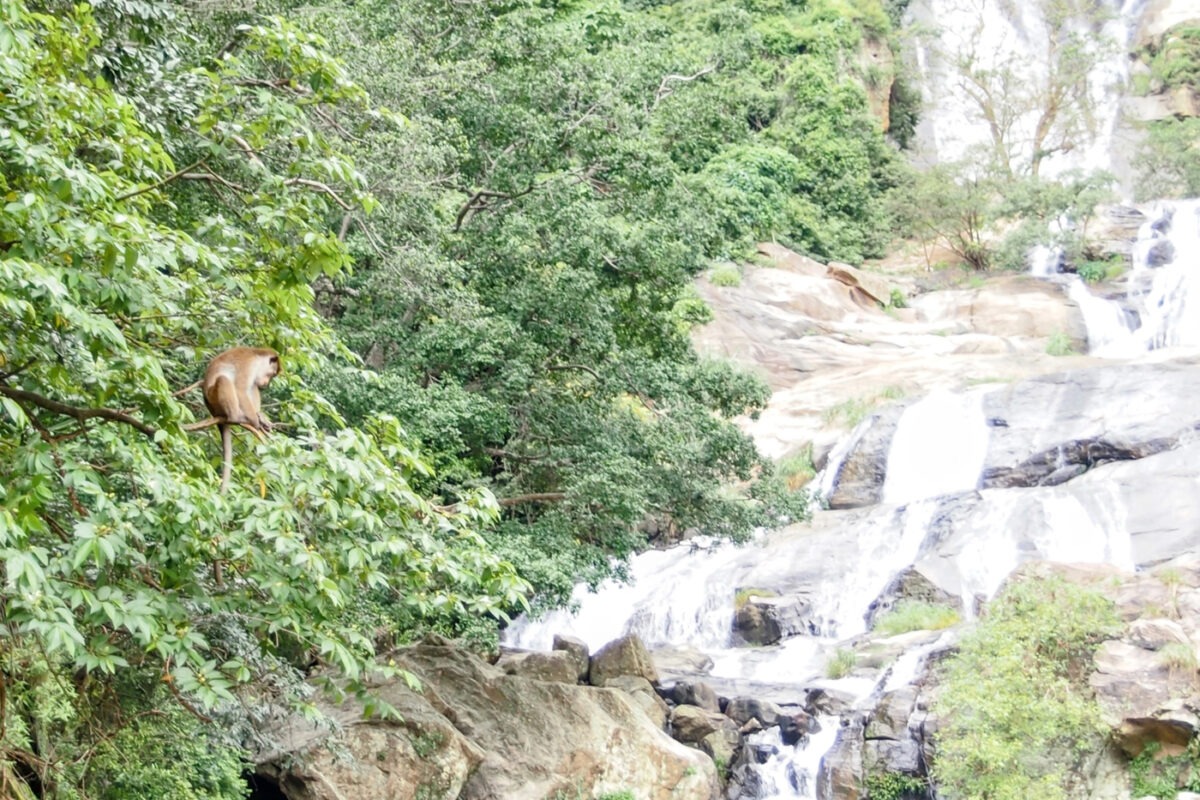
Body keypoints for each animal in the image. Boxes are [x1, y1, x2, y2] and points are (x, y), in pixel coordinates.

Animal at [184, 345, 280, 491]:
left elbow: (251, 386)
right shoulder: (248, 365)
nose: (266, 383)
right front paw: (255, 421)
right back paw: (237, 417)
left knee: (253, 385)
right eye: (272, 374)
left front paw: (261, 419)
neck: (257, 358)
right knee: (224, 379)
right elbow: (240, 389)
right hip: (214, 399)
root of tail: (211, 410)